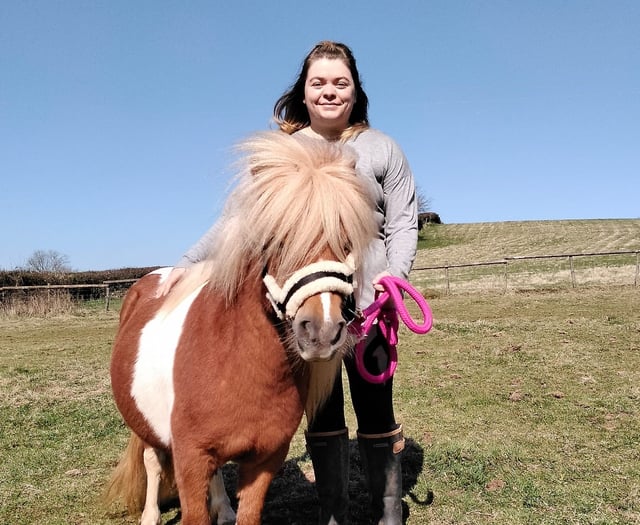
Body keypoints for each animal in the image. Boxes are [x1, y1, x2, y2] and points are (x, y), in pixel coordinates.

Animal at [104, 131, 378, 525]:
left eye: (346, 241)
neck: (236, 364)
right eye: (276, 240)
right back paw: (150, 515)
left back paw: (222, 507)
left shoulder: (264, 461)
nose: (322, 332)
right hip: (145, 427)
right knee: (153, 464)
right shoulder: (190, 460)